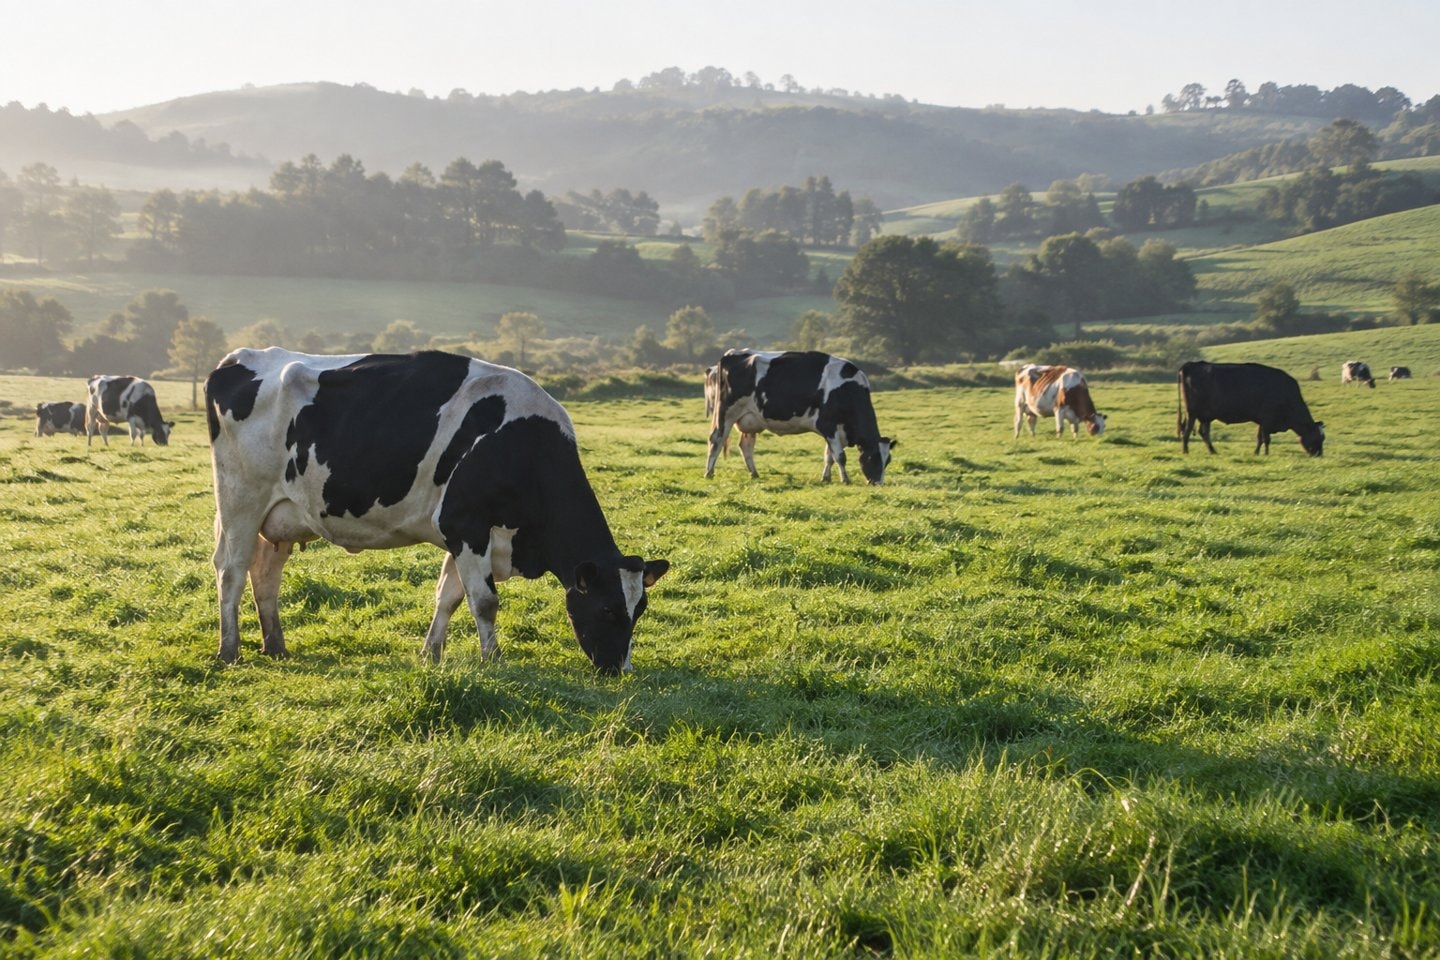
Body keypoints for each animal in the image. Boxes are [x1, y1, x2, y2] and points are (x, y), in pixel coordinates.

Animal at [204, 347, 668, 673]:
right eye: (608, 609)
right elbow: (484, 601)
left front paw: (432, 653)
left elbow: (448, 596)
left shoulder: (464, 534)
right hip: (241, 498)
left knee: (265, 574)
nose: (620, 670)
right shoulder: (465, 524)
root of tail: (237, 358)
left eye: (640, 609)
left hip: (280, 515)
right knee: (231, 569)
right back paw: (230, 651)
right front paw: (492, 659)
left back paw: (276, 647)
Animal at [704, 349, 895, 485]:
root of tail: (730, 355)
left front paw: (826, 478)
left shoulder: (833, 430)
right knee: (716, 439)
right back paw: (709, 473)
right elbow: (840, 456)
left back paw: (754, 474)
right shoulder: (828, 425)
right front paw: (845, 480)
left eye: (888, 461)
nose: (877, 483)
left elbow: (829, 456)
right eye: (872, 457)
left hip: (751, 419)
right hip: (727, 412)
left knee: (746, 446)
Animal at [1178, 361, 1324, 456]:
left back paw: (1213, 451)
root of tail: (1190, 364)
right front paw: (1266, 454)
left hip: (1206, 416)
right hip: (1192, 413)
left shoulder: (1262, 421)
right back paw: (1185, 451)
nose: (1319, 454)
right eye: (1318, 437)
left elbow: (1260, 438)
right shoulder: (1267, 419)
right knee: (1187, 430)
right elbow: (1267, 439)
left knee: (1204, 433)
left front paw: (1257, 452)